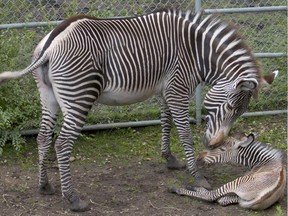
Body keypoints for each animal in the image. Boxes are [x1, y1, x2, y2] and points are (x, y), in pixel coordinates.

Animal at [0, 9, 276, 211]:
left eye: (240, 112)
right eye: (230, 106)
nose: (214, 145)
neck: (197, 51)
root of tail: (53, 39)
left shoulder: (165, 88)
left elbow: (165, 121)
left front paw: (169, 158)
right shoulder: (178, 87)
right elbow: (184, 132)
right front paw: (197, 176)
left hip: (47, 95)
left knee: (43, 137)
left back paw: (44, 186)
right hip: (79, 96)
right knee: (62, 143)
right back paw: (73, 199)